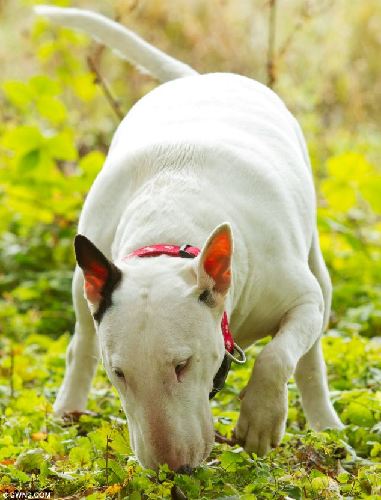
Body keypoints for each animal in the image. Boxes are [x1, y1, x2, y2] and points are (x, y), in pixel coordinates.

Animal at [35, 4, 342, 472]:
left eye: (183, 364)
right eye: (119, 374)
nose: (169, 469)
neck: (169, 229)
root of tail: (198, 77)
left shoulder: (300, 298)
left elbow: (275, 357)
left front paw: (260, 422)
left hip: (317, 275)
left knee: (308, 358)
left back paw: (328, 427)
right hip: (79, 285)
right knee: (81, 345)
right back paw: (65, 413)